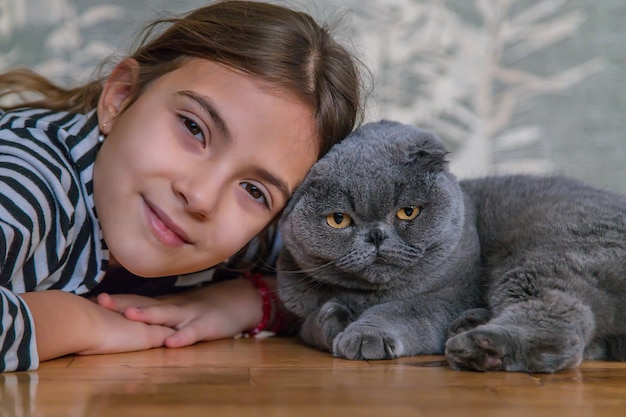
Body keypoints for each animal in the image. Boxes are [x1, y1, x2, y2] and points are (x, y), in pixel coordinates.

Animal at [276, 119, 624, 370]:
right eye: (338, 219)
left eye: (407, 212)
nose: (375, 235)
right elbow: (310, 324)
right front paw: (332, 318)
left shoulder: (455, 293)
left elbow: (403, 309)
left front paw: (364, 334)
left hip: (548, 253)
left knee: (559, 322)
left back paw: (477, 348)